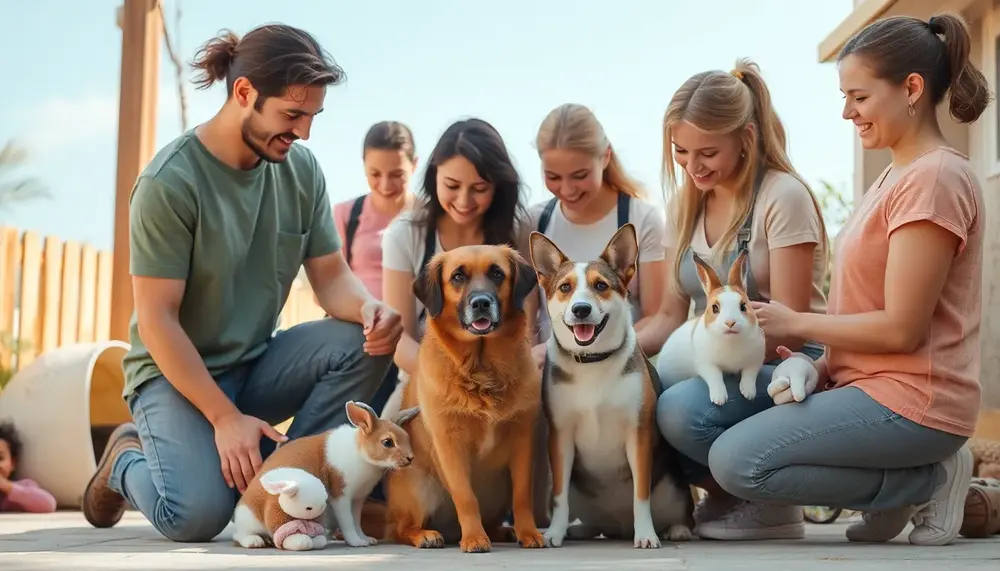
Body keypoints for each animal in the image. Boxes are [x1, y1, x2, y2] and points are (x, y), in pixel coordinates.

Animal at [230, 402, 418, 548]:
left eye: (407, 438)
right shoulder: (340, 496)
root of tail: (239, 511)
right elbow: (348, 522)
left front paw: (366, 539)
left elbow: (357, 521)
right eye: (387, 442)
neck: (360, 453)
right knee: (239, 535)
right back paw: (255, 541)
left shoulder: (358, 499)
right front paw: (356, 542)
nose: (410, 458)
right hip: (250, 519)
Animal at [380, 244, 544, 552]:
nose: (481, 303)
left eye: (497, 273)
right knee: (399, 529)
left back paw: (503, 531)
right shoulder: (449, 444)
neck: (481, 368)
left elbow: (523, 495)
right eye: (458, 276)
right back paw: (426, 535)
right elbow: (466, 496)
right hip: (419, 487)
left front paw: (528, 532)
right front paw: (475, 538)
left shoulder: (523, 438)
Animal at [532, 223, 696, 548]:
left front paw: (646, 534)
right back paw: (580, 529)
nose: (581, 310)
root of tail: (619, 526)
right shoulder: (560, 436)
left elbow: (640, 495)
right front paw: (554, 532)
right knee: (592, 519)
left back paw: (677, 529)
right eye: (565, 288)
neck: (592, 361)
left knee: (682, 513)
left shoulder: (638, 434)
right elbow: (558, 497)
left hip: (673, 486)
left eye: (601, 286)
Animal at [656, 250, 764, 406]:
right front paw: (719, 399)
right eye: (714, 308)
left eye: (744, 306)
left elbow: (749, 374)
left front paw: (749, 393)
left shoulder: (755, 360)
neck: (731, 341)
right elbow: (715, 376)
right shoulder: (706, 364)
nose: (730, 322)